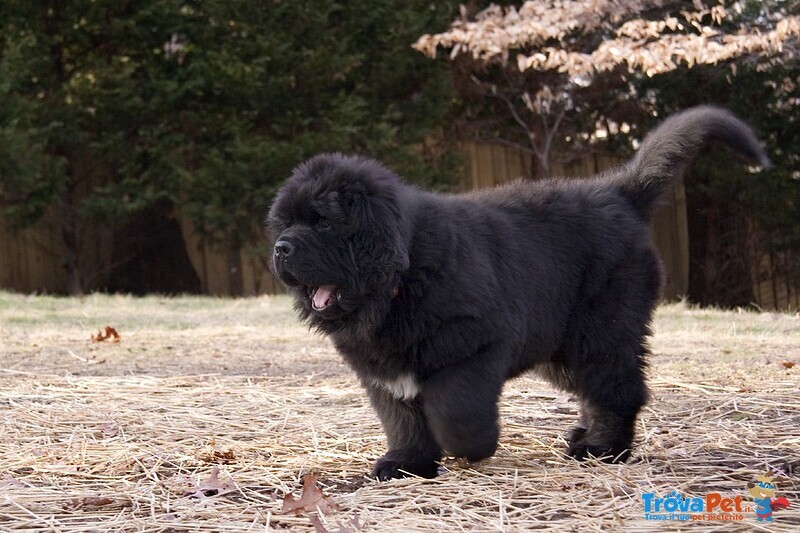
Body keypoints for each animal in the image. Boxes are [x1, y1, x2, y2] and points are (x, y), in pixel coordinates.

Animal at [268, 106, 768, 480]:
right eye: (285, 222)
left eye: (323, 222)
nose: (280, 247)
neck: (398, 282)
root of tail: (616, 193)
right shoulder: (387, 376)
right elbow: (404, 421)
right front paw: (406, 464)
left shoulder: (474, 348)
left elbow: (455, 409)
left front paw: (470, 447)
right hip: (560, 347)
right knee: (595, 389)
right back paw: (585, 437)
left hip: (601, 332)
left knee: (617, 389)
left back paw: (602, 449)